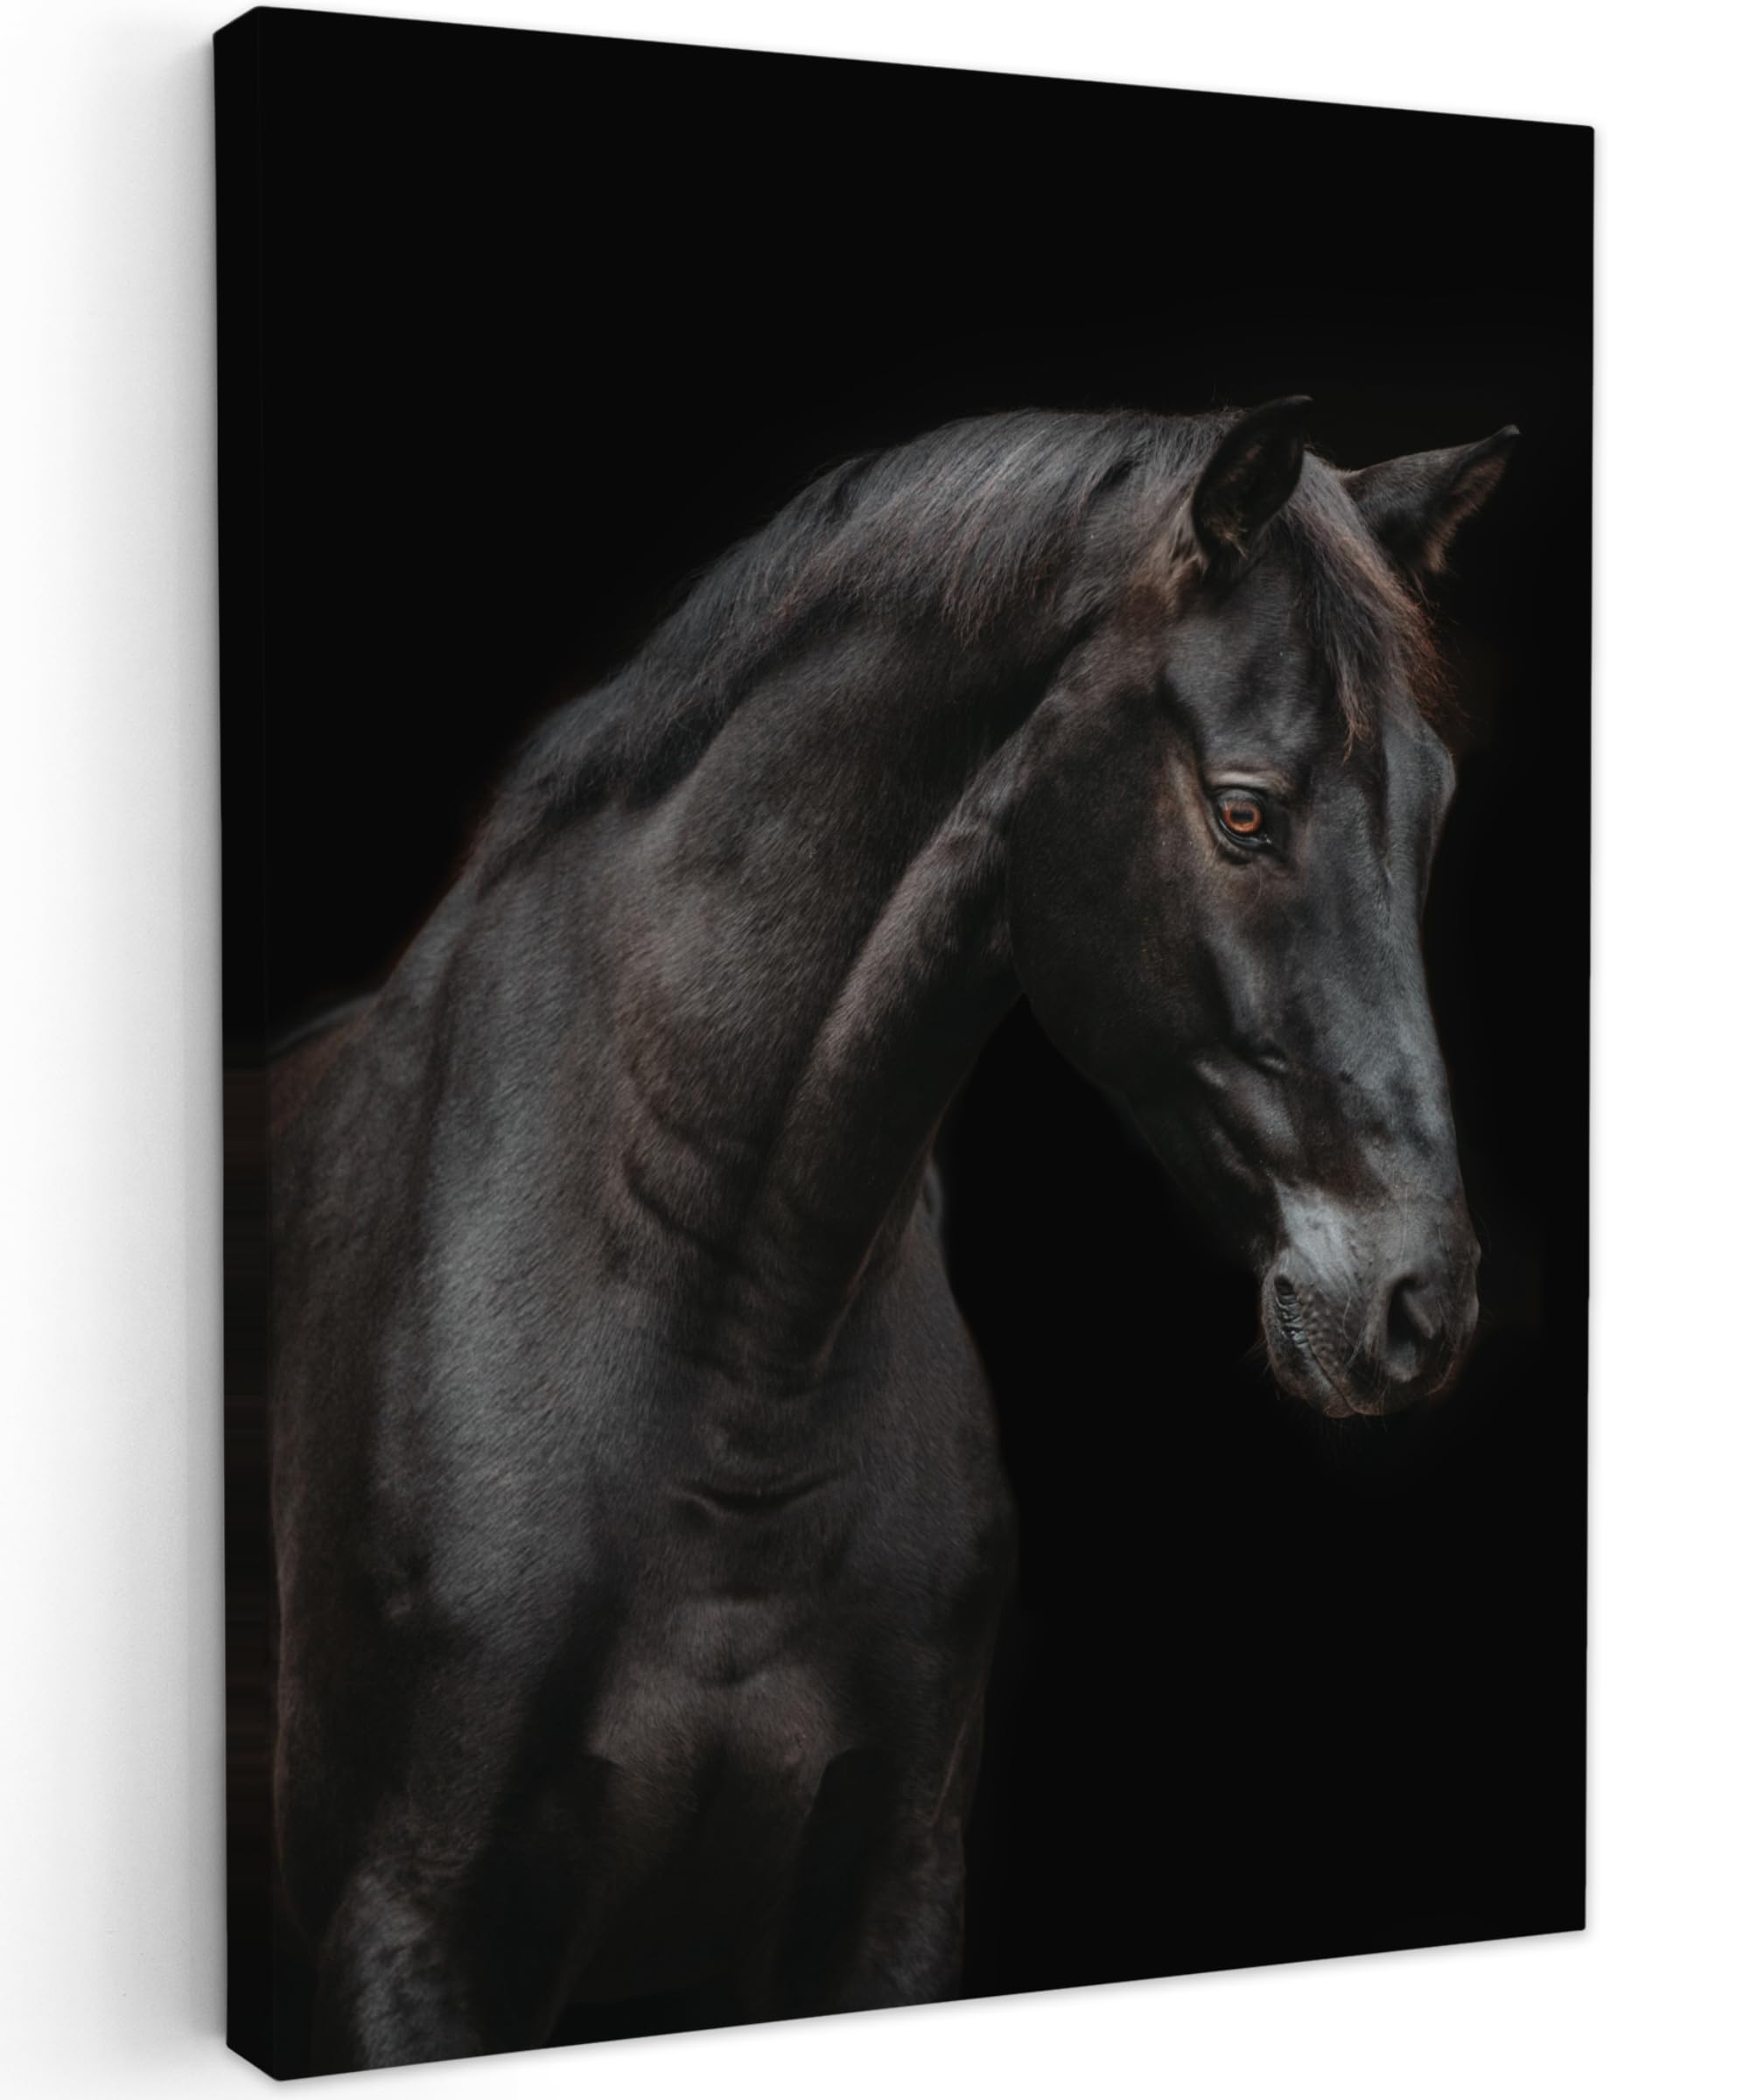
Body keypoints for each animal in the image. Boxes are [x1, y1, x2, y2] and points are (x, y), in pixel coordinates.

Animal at [266, 397, 1515, 2069]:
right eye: (1244, 810)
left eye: (1430, 812)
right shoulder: (407, 1924)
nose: (1416, 1305)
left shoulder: (889, 1895)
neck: (725, 1365)